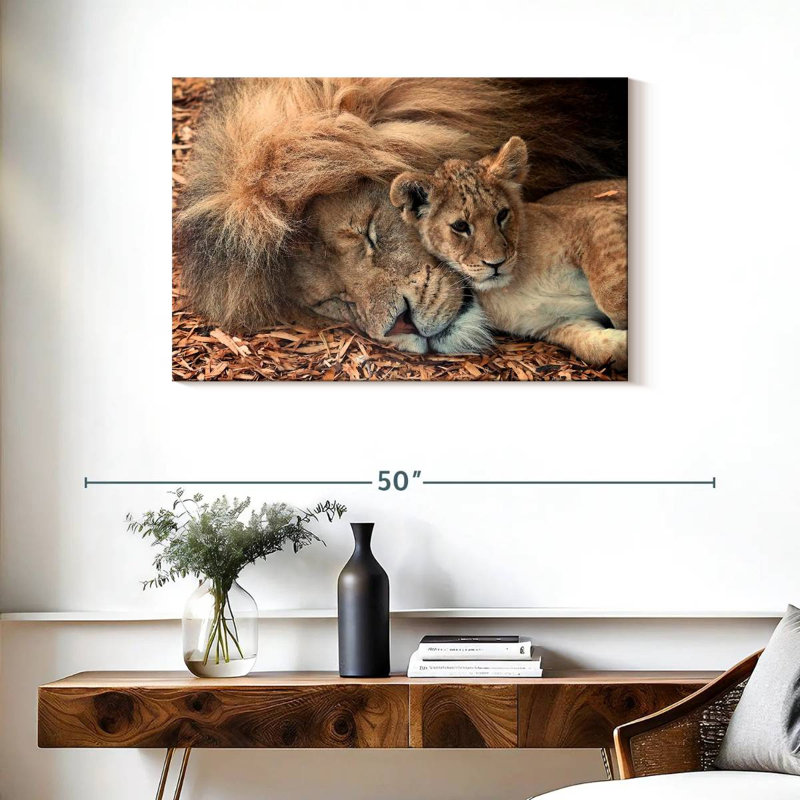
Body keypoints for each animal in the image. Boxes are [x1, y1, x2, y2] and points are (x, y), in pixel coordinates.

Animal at [390, 136, 628, 369]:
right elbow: (599, 348)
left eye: (502, 214)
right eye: (460, 226)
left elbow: (612, 296)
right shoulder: (558, 322)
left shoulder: (597, 216)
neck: (511, 285)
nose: (495, 263)